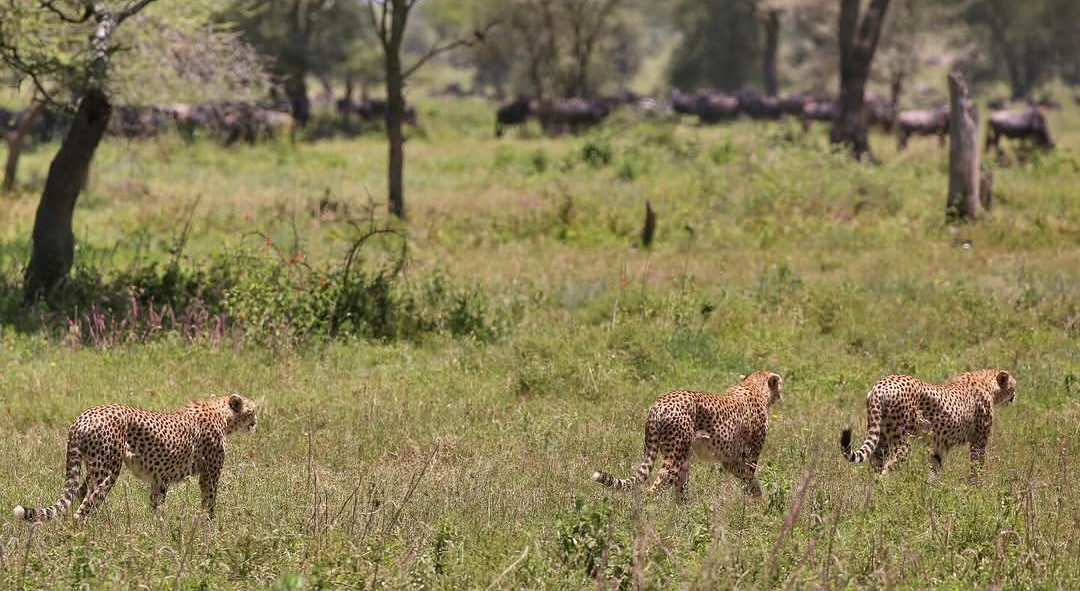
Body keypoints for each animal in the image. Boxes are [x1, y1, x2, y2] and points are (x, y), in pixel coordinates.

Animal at [14, 393, 258, 522]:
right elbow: (209, 500)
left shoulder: (159, 479)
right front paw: (209, 525)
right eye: (252, 410)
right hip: (108, 470)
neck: (222, 415)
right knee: (85, 506)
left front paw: (157, 528)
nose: (256, 422)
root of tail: (83, 416)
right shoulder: (209, 474)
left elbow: (157, 504)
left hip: (94, 467)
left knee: (81, 494)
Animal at [592, 370, 783, 502]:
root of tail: (659, 403)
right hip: (676, 455)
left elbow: (746, 479)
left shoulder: (730, 460)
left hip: (679, 454)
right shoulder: (748, 457)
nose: (782, 395)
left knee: (680, 487)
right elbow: (750, 480)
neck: (753, 387)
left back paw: (683, 514)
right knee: (659, 485)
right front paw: (755, 504)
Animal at [840, 369, 1016, 476]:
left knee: (876, 466)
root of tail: (881, 385)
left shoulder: (939, 446)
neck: (987, 382)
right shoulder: (978, 443)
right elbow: (976, 469)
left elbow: (935, 469)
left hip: (881, 440)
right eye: (1013, 387)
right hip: (902, 442)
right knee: (887, 471)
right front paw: (974, 493)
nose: (1015, 396)